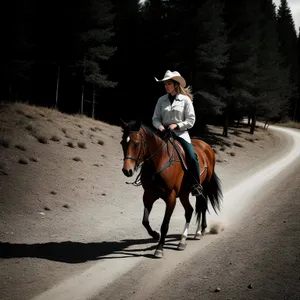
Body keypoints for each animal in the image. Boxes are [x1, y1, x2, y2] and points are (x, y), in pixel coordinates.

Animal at [120, 119, 221, 258]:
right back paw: (184, 240)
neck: (159, 162)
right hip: (184, 193)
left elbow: (164, 225)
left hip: (202, 187)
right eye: (122, 143)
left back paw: (199, 232)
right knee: (190, 210)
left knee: (202, 205)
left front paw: (159, 248)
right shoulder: (148, 195)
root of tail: (207, 147)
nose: (127, 170)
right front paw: (155, 235)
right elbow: (145, 221)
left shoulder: (171, 197)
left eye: (136, 144)